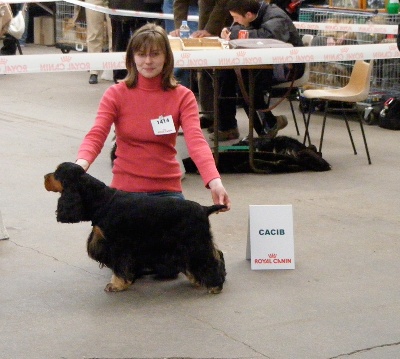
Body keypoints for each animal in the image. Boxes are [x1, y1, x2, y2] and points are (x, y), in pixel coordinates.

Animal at [45, 163, 227, 296]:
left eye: (56, 173)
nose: (44, 176)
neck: (102, 200)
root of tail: (204, 208)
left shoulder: (118, 245)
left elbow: (119, 267)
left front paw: (116, 285)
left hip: (195, 241)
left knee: (211, 259)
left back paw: (215, 286)